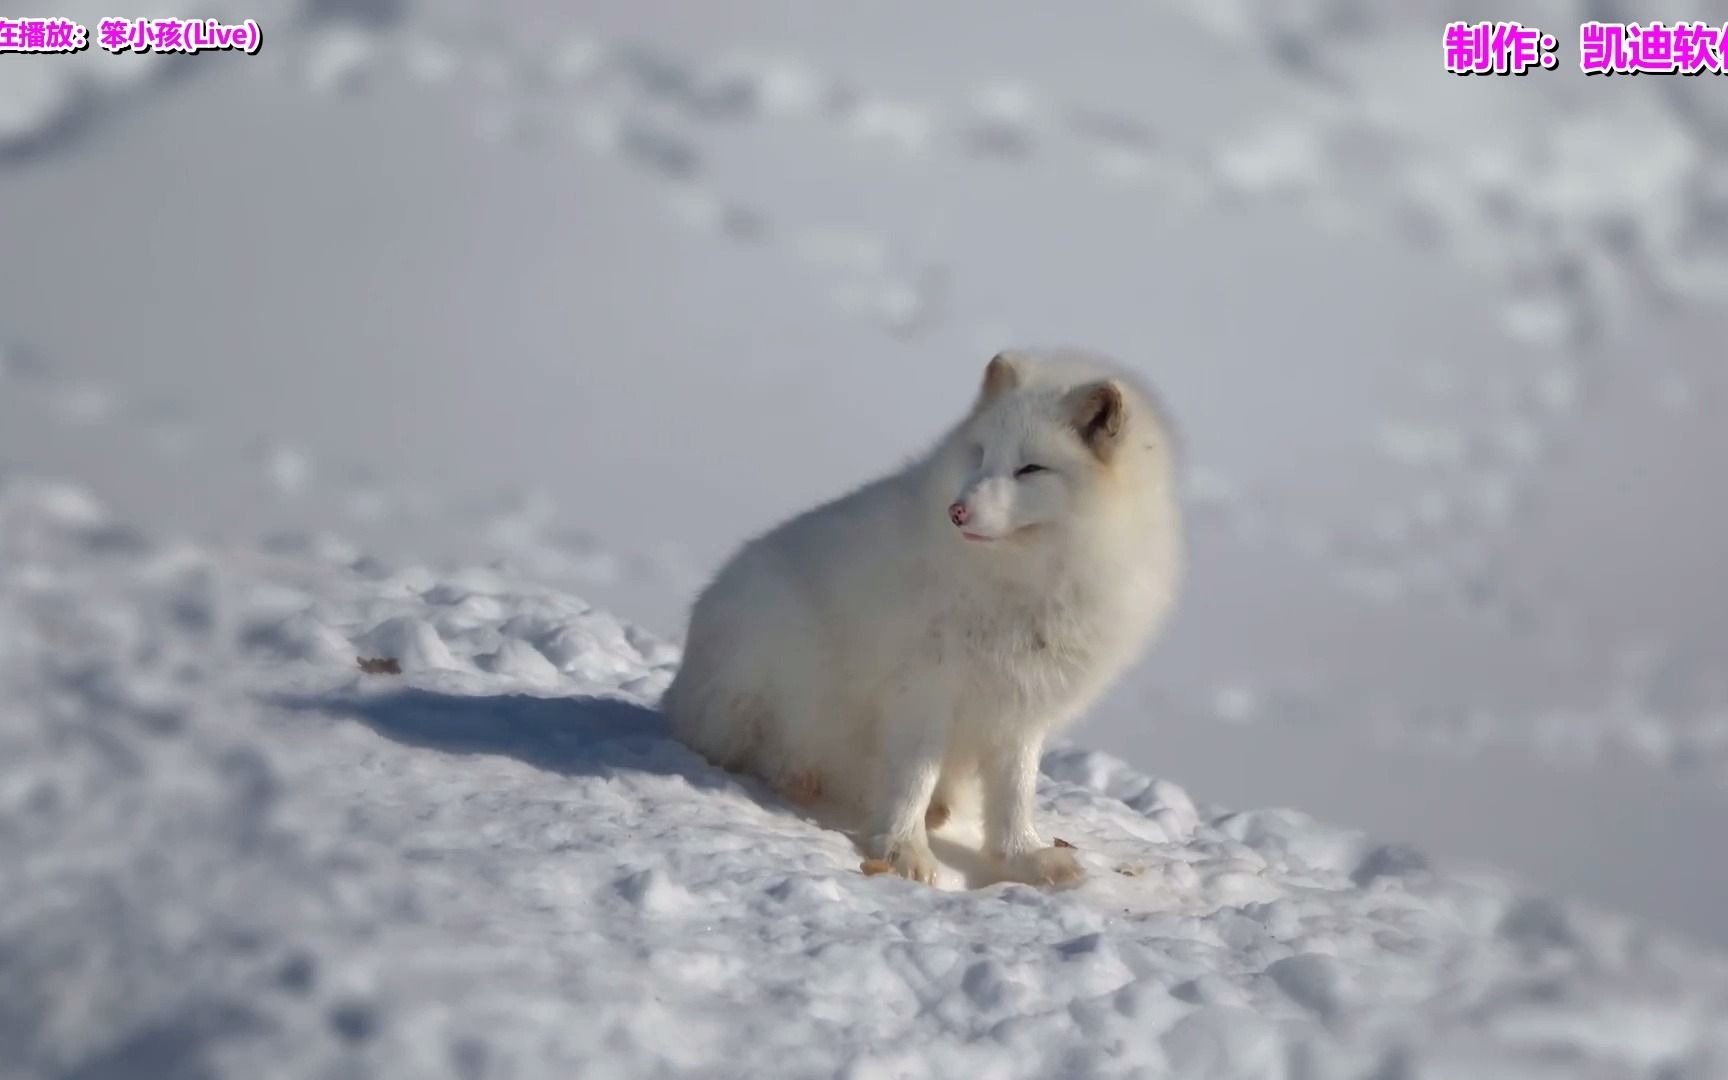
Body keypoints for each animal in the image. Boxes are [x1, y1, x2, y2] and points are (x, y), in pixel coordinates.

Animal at [653, 352, 1181, 884]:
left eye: (1031, 468)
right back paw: (798, 778)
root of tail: (678, 691)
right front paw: (904, 851)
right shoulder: (924, 688)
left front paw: (1024, 856)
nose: (957, 511)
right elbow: (912, 779)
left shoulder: (1022, 706)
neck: (1022, 584)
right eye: (979, 454)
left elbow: (1015, 793)